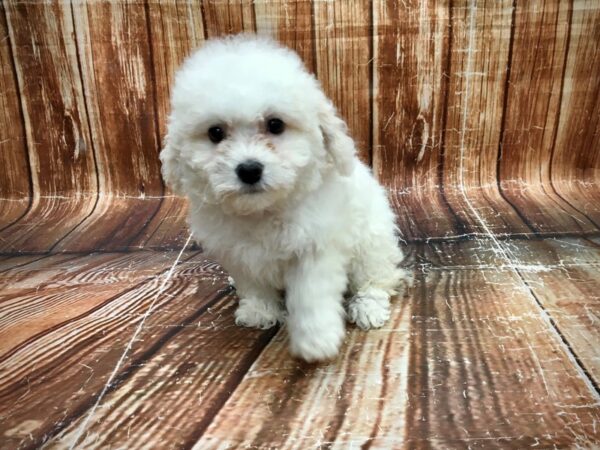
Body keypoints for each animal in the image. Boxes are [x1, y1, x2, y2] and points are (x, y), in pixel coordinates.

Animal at [159, 34, 410, 362]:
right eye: (215, 133)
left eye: (275, 125)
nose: (249, 169)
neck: (263, 211)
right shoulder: (240, 253)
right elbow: (254, 285)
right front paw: (259, 311)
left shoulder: (316, 248)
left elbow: (311, 295)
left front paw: (317, 338)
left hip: (372, 246)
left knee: (377, 279)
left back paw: (368, 307)